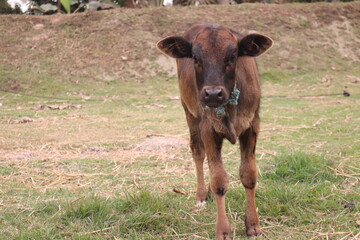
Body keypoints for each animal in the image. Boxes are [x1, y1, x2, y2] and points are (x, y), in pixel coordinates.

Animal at [156, 23, 272, 239]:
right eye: (195, 58)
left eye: (233, 56)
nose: (212, 94)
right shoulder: (208, 129)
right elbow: (219, 180)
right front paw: (223, 230)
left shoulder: (252, 126)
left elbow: (249, 175)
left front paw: (253, 224)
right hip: (189, 112)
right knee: (198, 152)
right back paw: (202, 194)